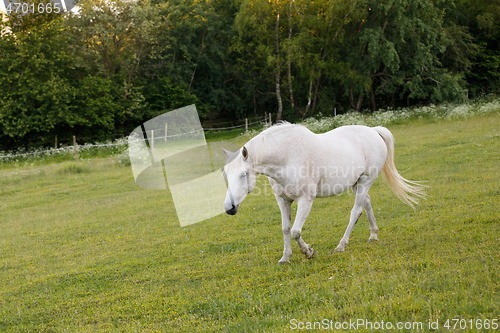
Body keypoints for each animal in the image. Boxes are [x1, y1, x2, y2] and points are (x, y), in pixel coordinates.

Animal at [225, 121, 424, 262]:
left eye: (243, 174)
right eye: (225, 174)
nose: (229, 208)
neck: (288, 157)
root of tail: (374, 131)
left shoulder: (306, 200)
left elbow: (296, 231)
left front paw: (309, 252)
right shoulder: (283, 200)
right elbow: (286, 228)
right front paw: (285, 257)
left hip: (366, 180)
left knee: (356, 211)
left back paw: (341, 246)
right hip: (356, 184)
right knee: (366, 203)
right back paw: (373, 235)